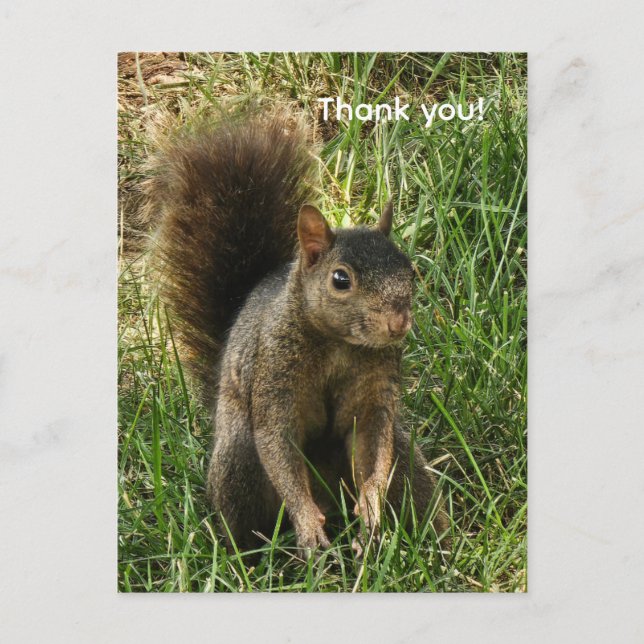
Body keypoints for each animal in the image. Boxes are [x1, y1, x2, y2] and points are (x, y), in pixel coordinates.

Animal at [143, 111, 449, 557]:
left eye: (411, 271)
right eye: (341, 279)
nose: (398, 324)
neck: (339, 343)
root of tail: (331, 496)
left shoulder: (374, 395)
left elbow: (373, 446)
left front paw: (371, 508)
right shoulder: (275, 378)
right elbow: (278, 443)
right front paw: (307, 525)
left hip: (408, 461)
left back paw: (432, 544)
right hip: (239, 459)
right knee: (244, 519)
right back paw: (246, 557)